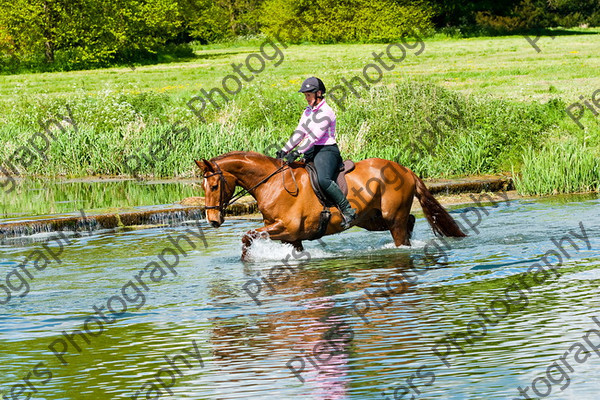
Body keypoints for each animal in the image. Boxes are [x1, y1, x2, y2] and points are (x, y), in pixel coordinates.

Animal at [195, 151, 466, 260]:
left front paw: (247, 261)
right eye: (203, 186)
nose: (213, 221)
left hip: (392, 217)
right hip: (372, 219)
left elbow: (247, 236)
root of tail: (405, 169)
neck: (271, 185)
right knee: (409, 221)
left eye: (215, 186)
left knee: (402, 230)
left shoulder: (288, 228)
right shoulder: (292, 237)